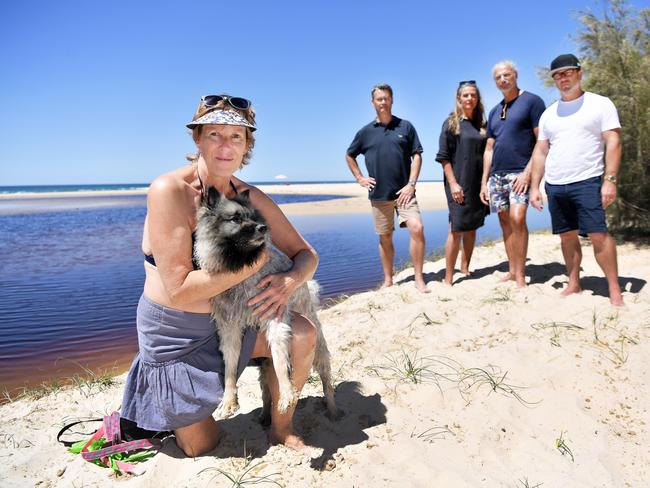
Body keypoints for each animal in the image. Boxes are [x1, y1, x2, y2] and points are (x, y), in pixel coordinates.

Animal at [192, 185, 336, 422]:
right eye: (236, 218)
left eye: (254, 217)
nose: (263, 227)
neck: (241, 269)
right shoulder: (229, 329)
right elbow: (230, 368)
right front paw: (228, 400)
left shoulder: (274, 318)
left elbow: (280, 360)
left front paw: (287, 392)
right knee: (266, 391)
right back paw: (266, 416)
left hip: (319, 348)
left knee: (326, 380)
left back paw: (333, 409)